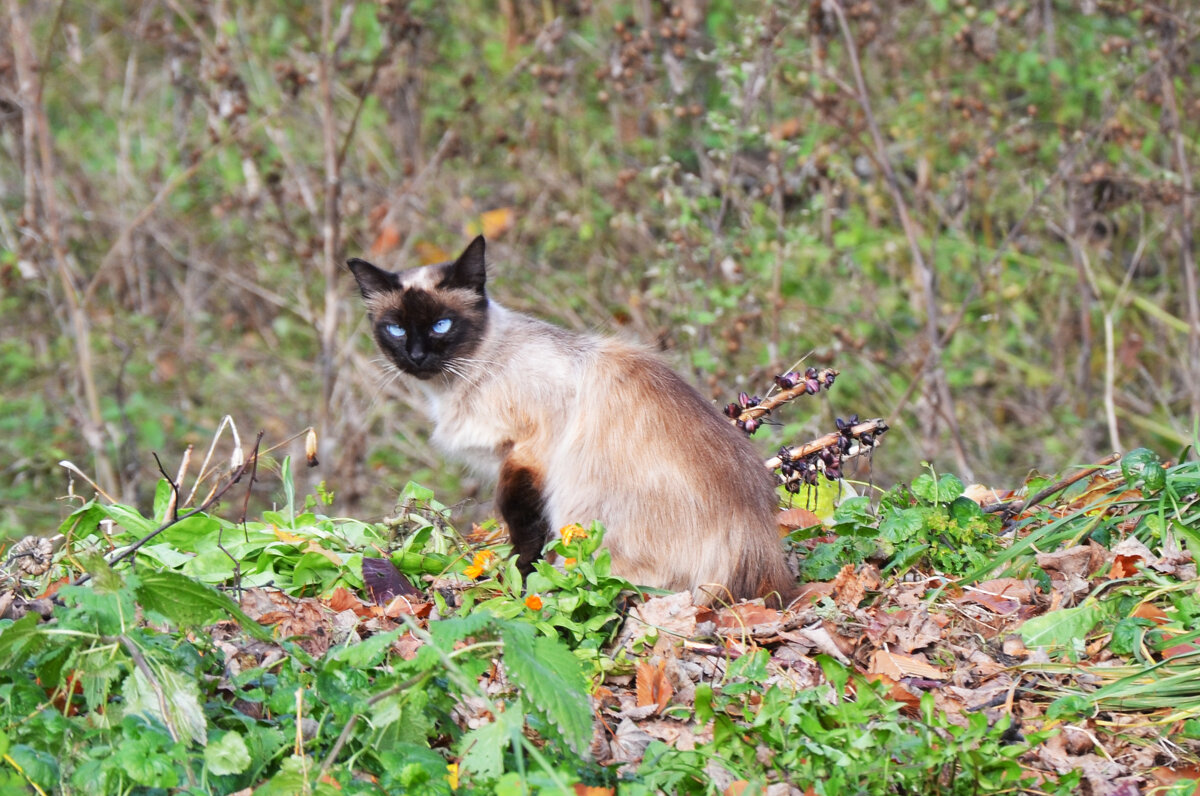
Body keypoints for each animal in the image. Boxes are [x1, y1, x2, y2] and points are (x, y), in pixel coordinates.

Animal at [350, 236, 796, 605]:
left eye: (441, 325)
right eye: (395, 329)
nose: (416, 357)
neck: (462, 381)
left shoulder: (526, 455)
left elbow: (524, 534)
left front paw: (519, 587)